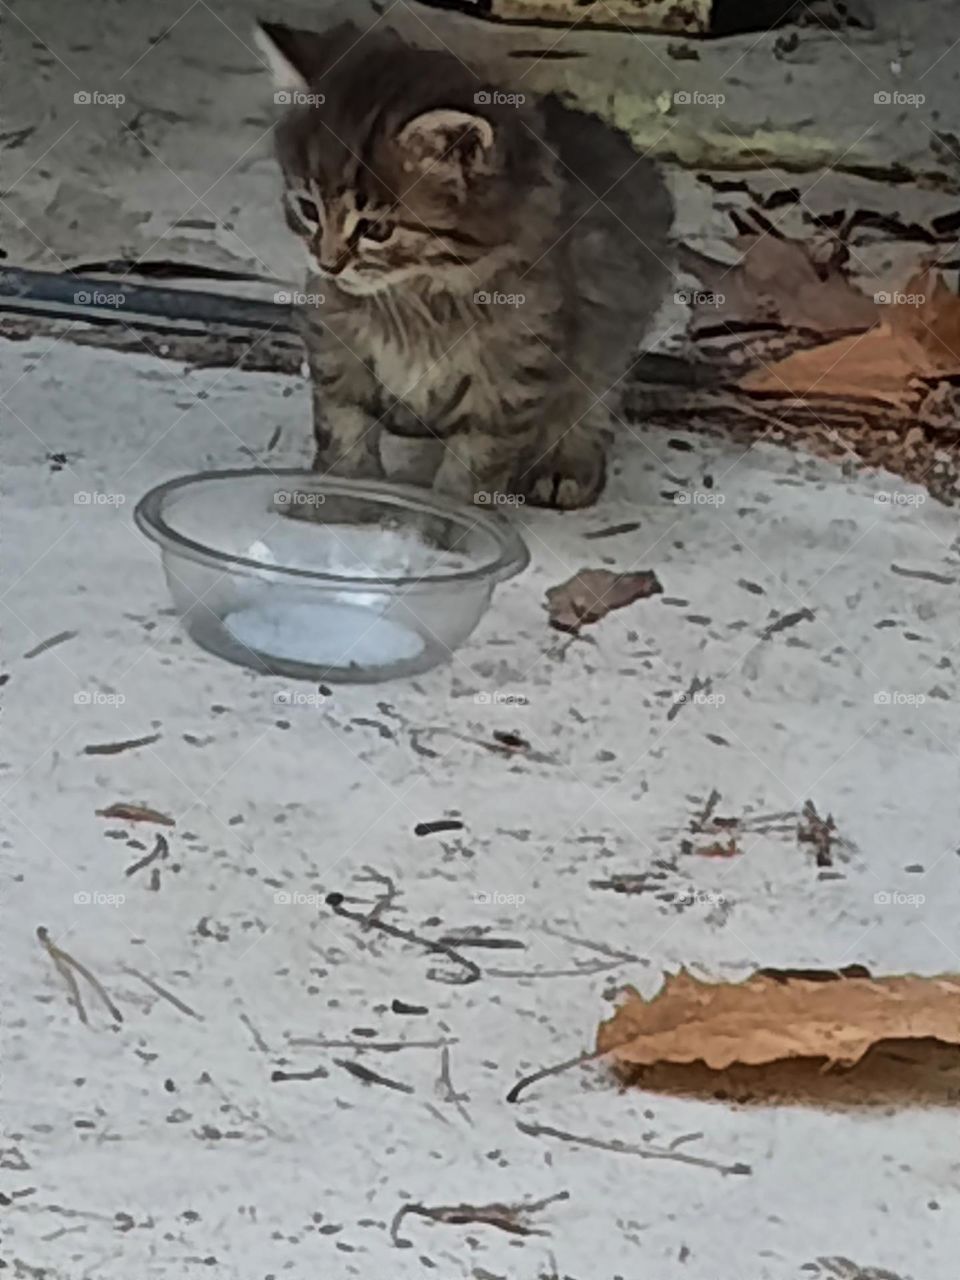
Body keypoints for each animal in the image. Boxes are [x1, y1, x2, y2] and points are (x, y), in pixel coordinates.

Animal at [259, 20, 670, 506]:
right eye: (308, 209)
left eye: (376, 229)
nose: (329, 264)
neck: (418, 295)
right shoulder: (334, 337)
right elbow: (343, 420)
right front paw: (342, 497)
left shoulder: (513, 372)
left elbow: (476, 461)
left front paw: (444, 518)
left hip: (616, 316)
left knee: (595, 395)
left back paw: (564, 460)